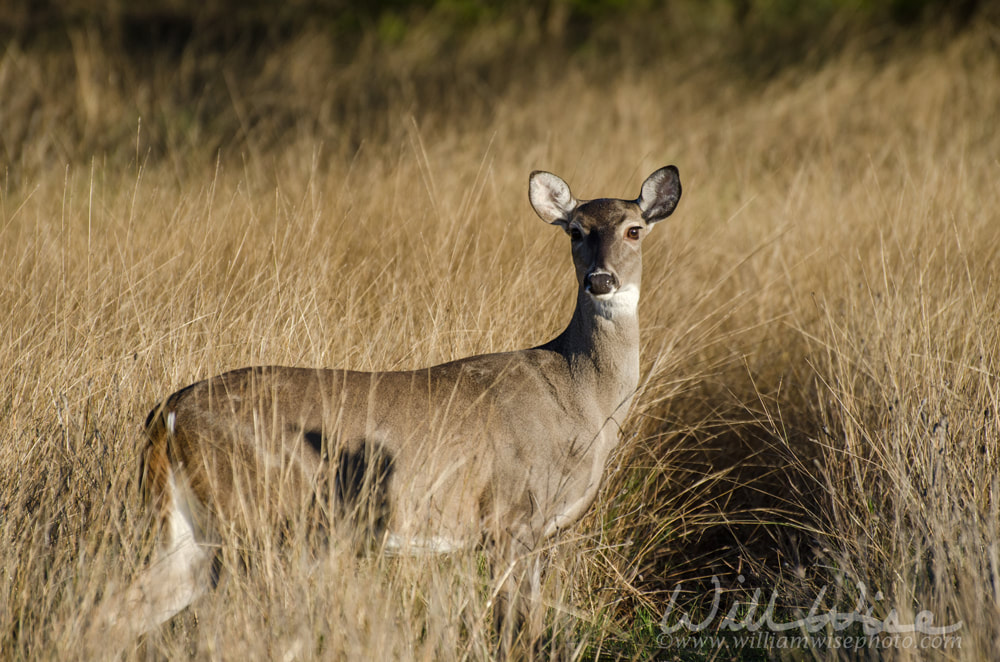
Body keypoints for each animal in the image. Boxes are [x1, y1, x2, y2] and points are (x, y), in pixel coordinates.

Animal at [95, 165, 680, 652]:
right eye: (575, 231)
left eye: (634, 229)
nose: (600, 279)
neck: (579, 397)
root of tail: (167, 413)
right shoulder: (510, 515)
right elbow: (518, 634)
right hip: (257, 518)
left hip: (191, 526)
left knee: (117, 612)